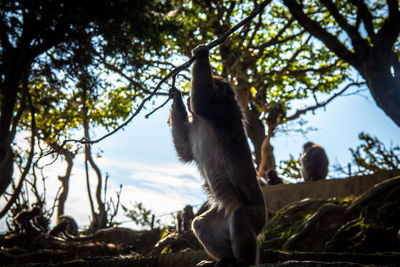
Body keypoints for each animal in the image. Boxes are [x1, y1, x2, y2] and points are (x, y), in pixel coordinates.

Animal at [169, 44, 266, 266]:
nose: (186, 97)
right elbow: (184, 151)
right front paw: (176, 95)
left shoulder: (219, 110)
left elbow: (202, 102)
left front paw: (201, 53)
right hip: (222, 215)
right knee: (201, 224)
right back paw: (225, 259)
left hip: (254, 215)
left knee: (240, 217)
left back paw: (243, 262)